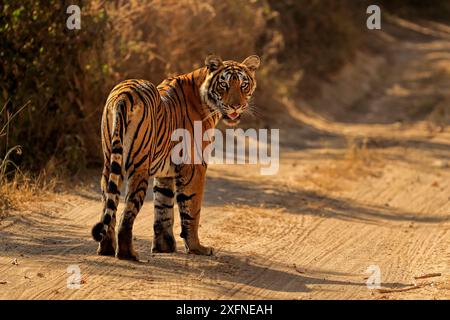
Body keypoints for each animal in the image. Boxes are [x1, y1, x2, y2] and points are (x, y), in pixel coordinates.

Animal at [91, 55, 260, 260]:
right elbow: (192, 210)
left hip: (109, 163)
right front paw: (197, 248)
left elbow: (163, 208)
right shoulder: (194, 167)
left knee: (109, 206)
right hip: (139, 167)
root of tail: (124, 94)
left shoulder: (166, 172)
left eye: (243, 85)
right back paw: (128, 254)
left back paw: (106, 249)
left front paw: (164, 247)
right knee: (127, 212)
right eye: (224, 85)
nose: (236, 106)